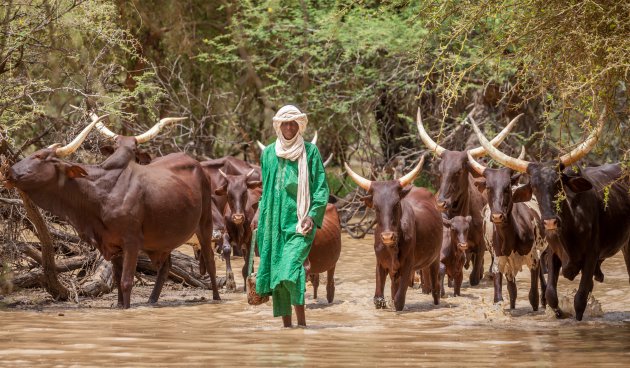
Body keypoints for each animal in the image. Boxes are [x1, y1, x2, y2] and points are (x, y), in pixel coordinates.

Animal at [4, 114, 222, 308]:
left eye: (39, 156)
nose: (9, 172)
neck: (100, 190)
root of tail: (197, 164)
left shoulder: (132, 242)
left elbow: (126, 282)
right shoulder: (113, 244)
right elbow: (117, 280)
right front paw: (119, 306)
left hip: (205, 225)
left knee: (211, 262)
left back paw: (216, 298)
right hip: (164, 239)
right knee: (165, 266)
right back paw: (152, 301)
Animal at [346, 157, 444, 312]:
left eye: (397, 203)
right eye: (376, 206)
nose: (387, 237)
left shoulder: (408, 265)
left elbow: (398, 300)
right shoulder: (380, 263)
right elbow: (379, 299)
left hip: (435, 258)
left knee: (435, 288)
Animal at [466, 148, 552, 310]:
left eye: (506, 188)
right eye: (488, 188)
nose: (497, 216)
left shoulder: (534, 258)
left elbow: (533, 297)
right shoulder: (499, 262)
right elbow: (502, 296)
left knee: (542, 278)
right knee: (513, 290)